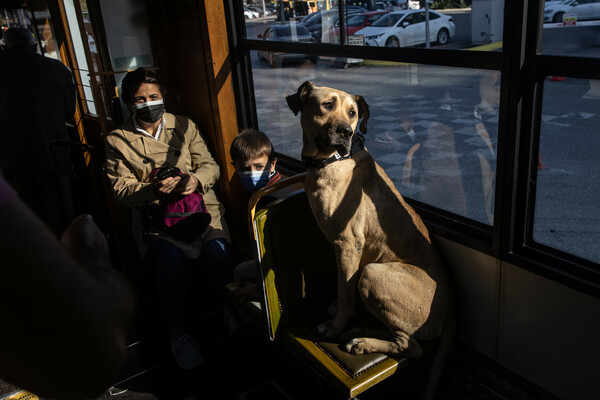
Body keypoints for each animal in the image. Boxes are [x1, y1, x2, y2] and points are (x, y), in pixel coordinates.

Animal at [288, 82, 458, 400]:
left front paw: (336, 326)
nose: (346, 131)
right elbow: (343, 287)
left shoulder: (348, 246)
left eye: (353, 113)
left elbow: (346, 295)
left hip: (373, 274)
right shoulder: (342, 252)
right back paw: (361, 333)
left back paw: (363, 341)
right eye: (326, 105)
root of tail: (452, 313)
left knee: (410, 345)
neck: (331, 161)